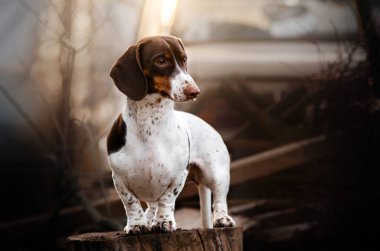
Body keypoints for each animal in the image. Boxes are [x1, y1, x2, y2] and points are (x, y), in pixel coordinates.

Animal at [107, 35, 235, 233]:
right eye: (161, 60)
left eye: (184, 59)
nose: (194, 92)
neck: (150, 123)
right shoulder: (119, 178)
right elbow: (131, 203)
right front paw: (137, 224)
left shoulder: (178, 176)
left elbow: (167, 200)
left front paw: (163, 222)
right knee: (151, 206)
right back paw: (147, 220)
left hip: (217, 173)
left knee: (220, 200)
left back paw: (222, 219)